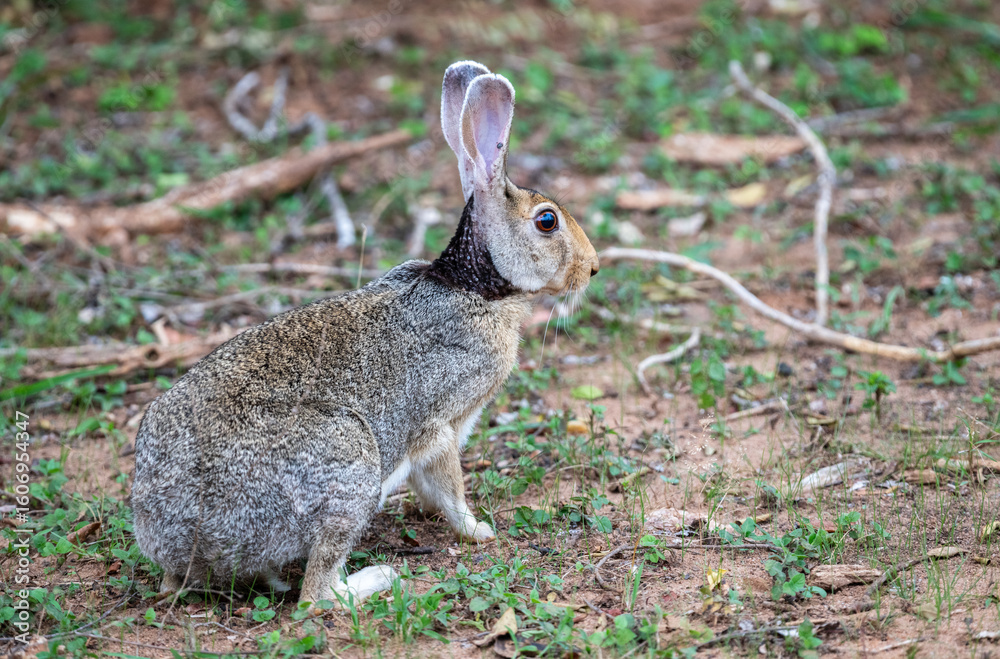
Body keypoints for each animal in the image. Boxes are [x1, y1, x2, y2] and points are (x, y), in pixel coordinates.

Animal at [130, 60, 600, 607]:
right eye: (547, 221)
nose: (592, 268)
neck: (474, 288)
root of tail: (179, 542)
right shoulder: (439, 424)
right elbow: (449, 486)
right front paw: (478, 531)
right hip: (349, 465)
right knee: (315, 595)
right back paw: (378, 579)